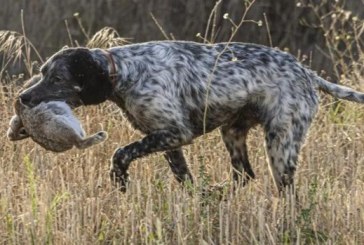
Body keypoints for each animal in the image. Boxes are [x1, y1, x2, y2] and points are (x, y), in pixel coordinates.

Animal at [17, 41, 364, 192]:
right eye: (42, 72)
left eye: (57, 78)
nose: (23, 98)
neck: (127, 72)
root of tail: (306, 72)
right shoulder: (168, 141)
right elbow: (184, 179)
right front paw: (195, 199)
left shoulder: (175, 133)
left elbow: (120, 152)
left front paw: (120, 181)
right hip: (233, 132)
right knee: (243, 176)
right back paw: (217, 193)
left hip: (281, 144)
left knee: (283, 189)